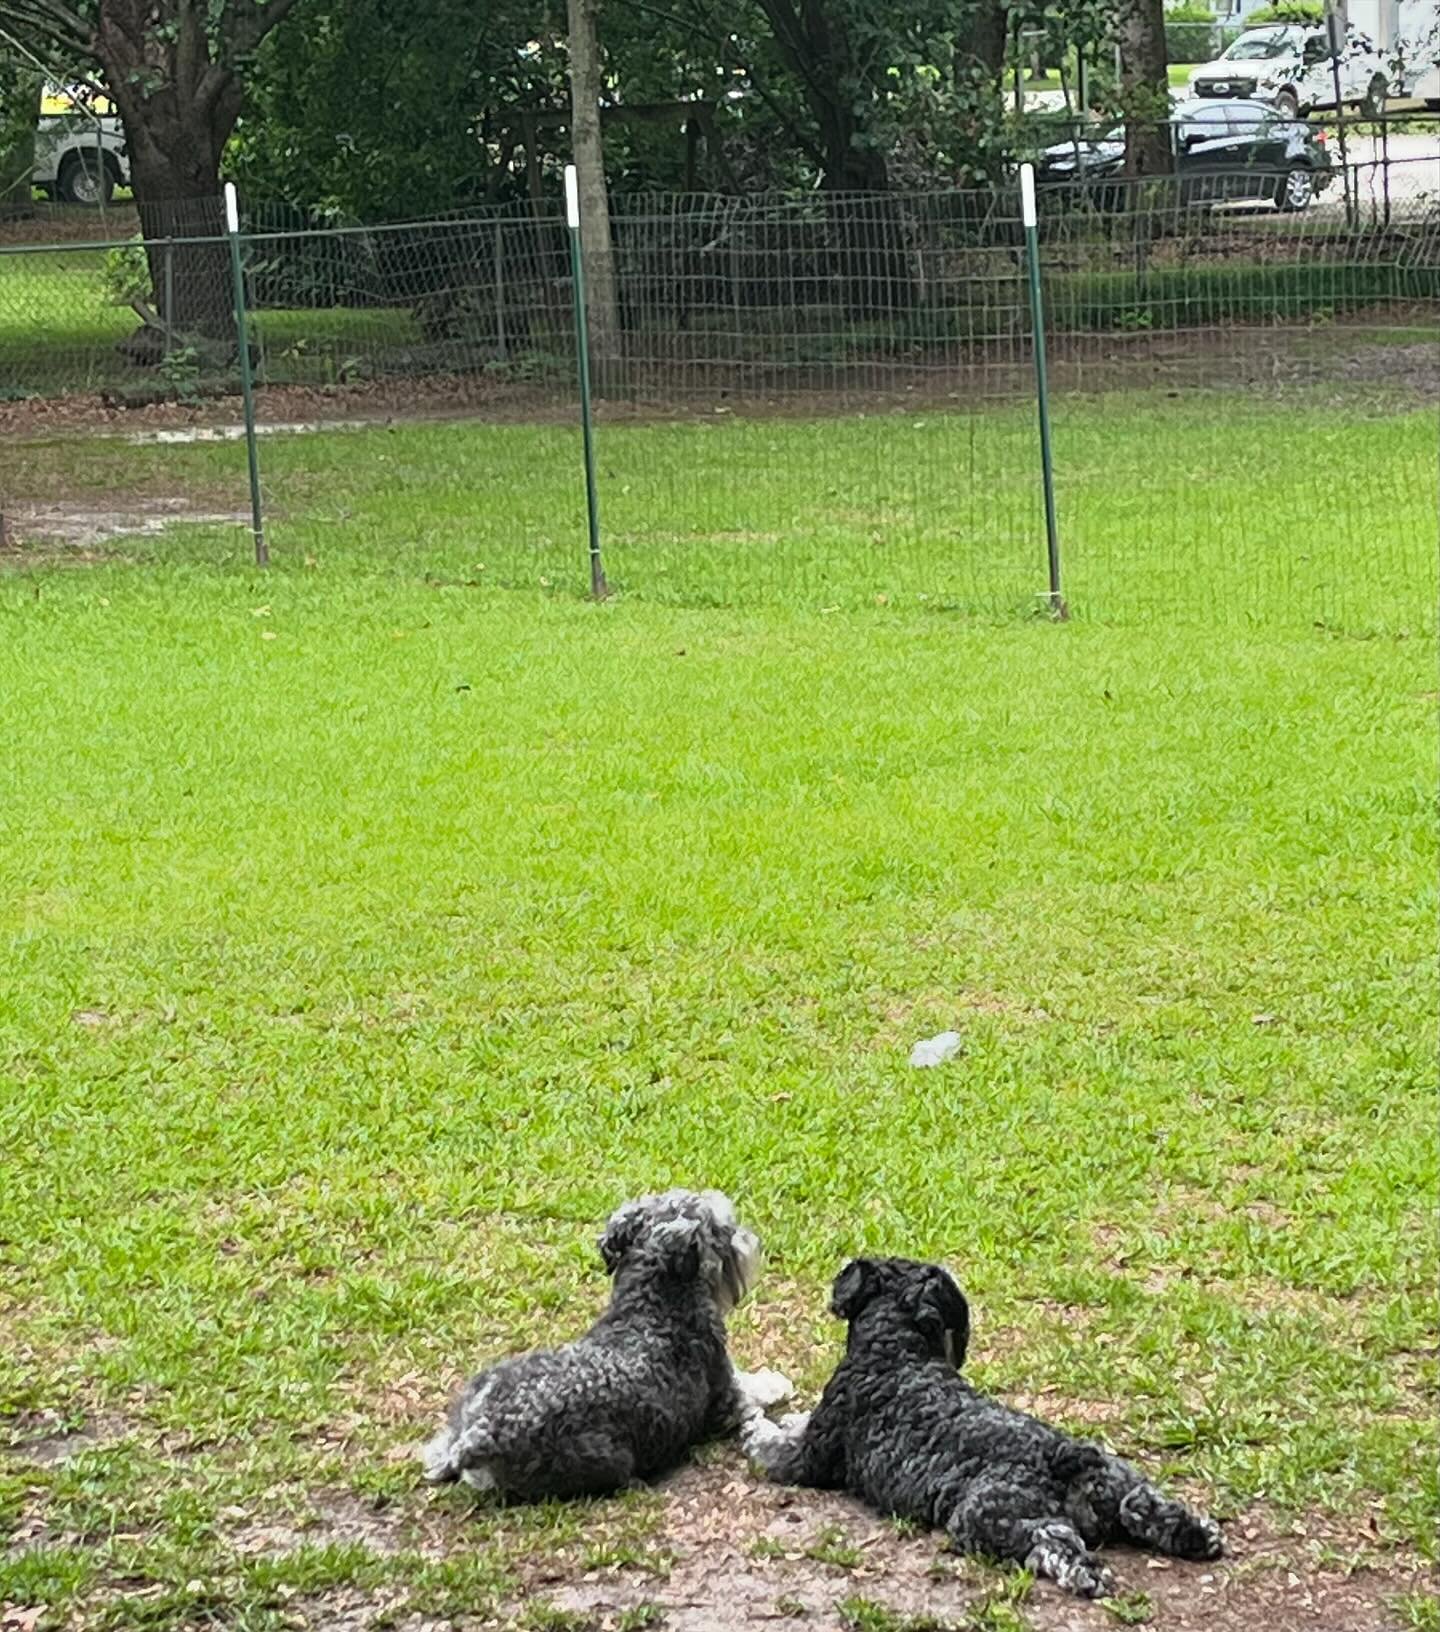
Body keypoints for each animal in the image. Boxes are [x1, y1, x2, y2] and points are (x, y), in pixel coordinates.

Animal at [421, 1194, 790, 1494]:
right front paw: (778, 1384)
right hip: (609, 1461)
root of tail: (479, 1434)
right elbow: (754, 1388)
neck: (653, 1306)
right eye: (723, 1229)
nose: (750, 1239)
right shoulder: (729, 1398)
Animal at [741, 1259, 1221, 1592]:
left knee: (1053, 1541)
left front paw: (759, 1426)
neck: (897, 1351)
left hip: (985, 1516)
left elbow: (775, 1444)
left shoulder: (806, 1459)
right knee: (1144, 1506)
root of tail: (1069, 1458)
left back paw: (1083, 1574)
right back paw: (1201, 1534)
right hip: (1123, 1482)